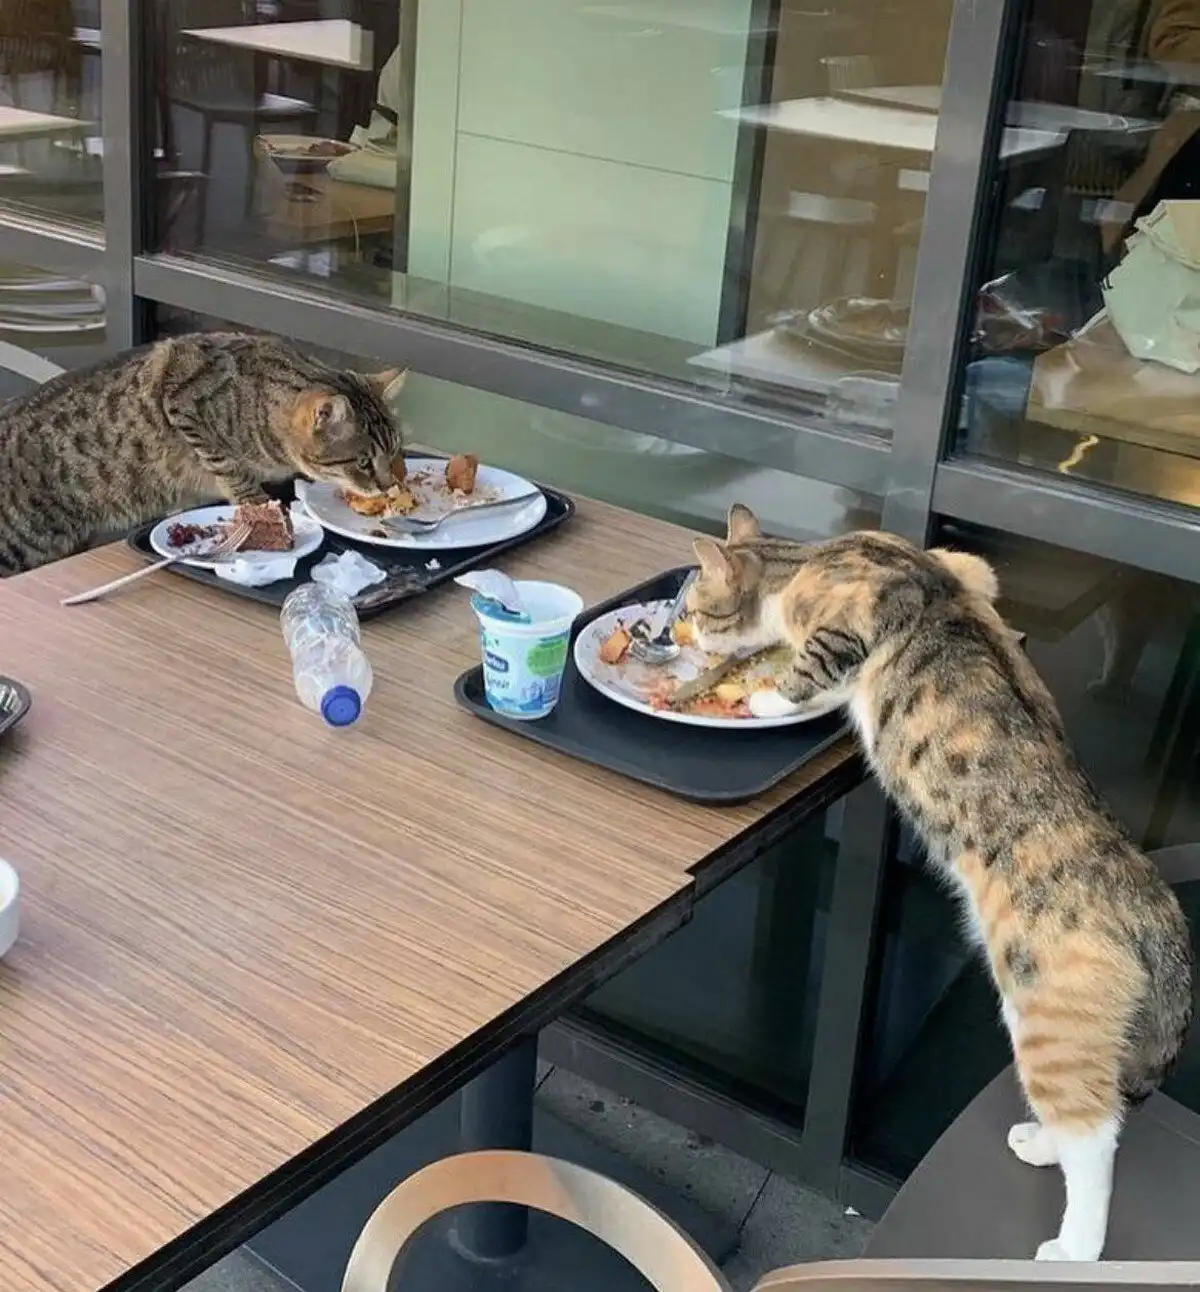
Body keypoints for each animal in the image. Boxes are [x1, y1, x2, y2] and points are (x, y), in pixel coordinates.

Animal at [0, 330, 406, 575]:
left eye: (396, 450)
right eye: (363, 462)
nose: (388, 485)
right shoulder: (180, 400)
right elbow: (227, 464)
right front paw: (256, 504)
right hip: (20, 546)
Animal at [685, 504, 1193, 1262]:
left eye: (692, 604)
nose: (678, 632)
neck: (807, 559)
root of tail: (1149, 901)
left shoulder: (863, 612)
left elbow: (812, 668)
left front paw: (766, 696)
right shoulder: (963, 569)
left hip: (1049, 1022)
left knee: (1098, 1140)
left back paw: (1073, 1247)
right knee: (1093, 1114)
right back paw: (1041, 1145)